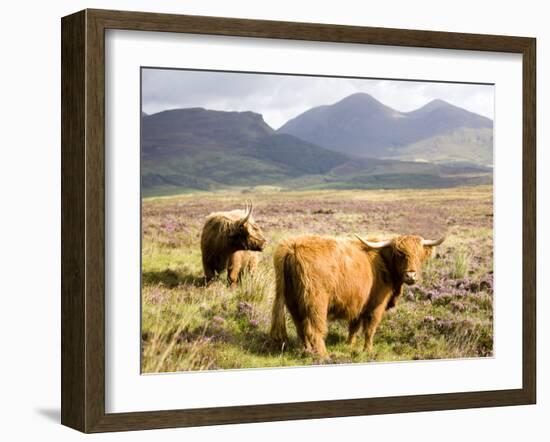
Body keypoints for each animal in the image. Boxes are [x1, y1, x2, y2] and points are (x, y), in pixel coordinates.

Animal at [270, 233, 446, 358]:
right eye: (399, 254)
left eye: (419, 255)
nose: (411, 275)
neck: (385, 263)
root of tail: (293, 247)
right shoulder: (376, 306)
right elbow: (370, 329)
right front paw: (368, 350)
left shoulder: (358, 304)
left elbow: (354, 327)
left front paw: (349, 345)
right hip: (316, 303)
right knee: (314, 329)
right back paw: (323, 356)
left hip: (293, 302)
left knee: (300, 328)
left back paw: (306, 351)